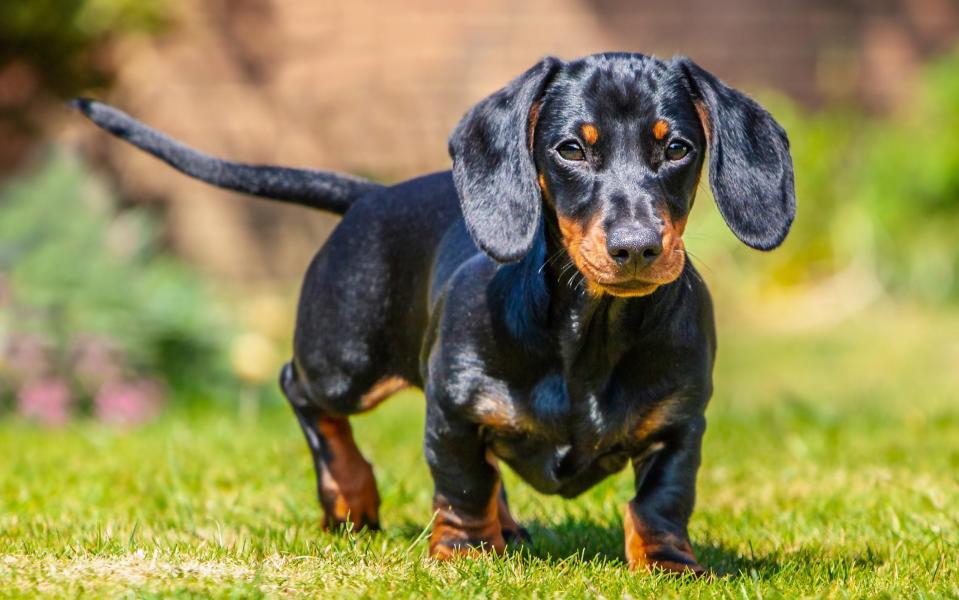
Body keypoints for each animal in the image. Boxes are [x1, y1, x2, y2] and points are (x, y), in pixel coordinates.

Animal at [73, 54, 796, 576]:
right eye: (570, 149)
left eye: (676, 148)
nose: (637, 247)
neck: (588, 333)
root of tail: (371, 195)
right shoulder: (451, 409)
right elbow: (463, 481)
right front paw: (466, 551)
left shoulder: (681, 424)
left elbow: (661, 500)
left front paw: (670, 565)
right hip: (345, 365)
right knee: (300, 391)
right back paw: (351, 497)